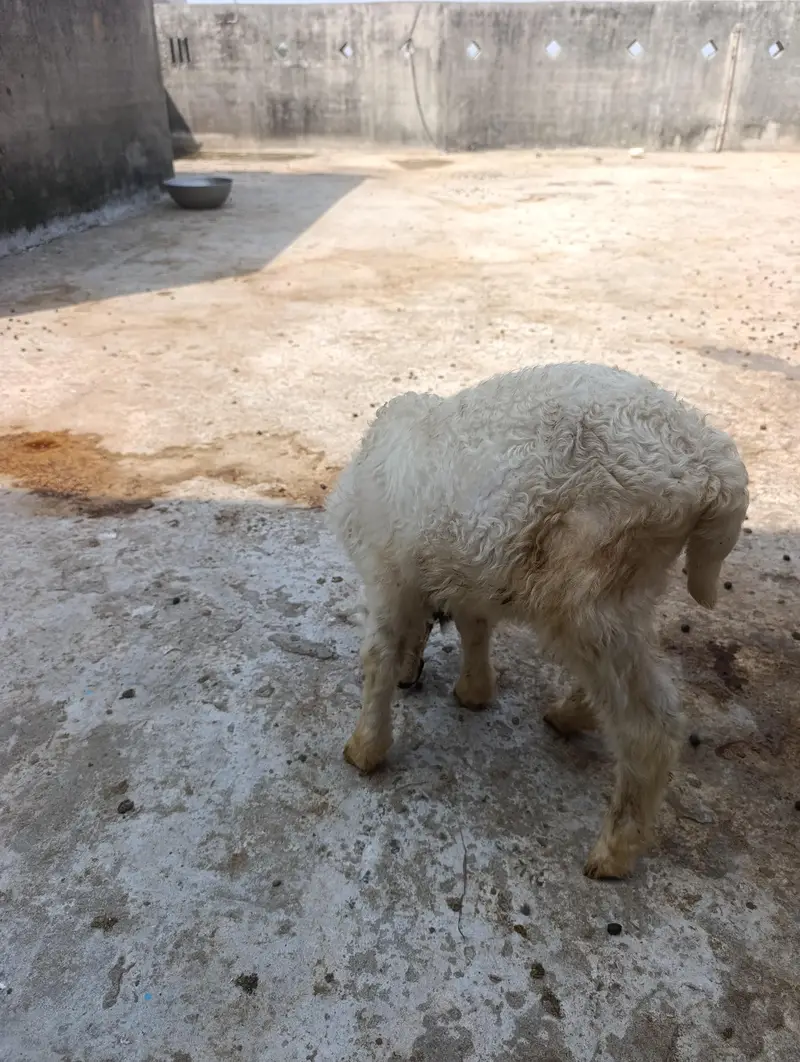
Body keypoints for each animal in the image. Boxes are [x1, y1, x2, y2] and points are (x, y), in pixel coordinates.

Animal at [326, 363, 748, 879]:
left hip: (588, 581)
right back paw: (572, 714)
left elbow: (378, 654)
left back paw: (613, 852)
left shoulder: (385, 569)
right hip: (629, 585)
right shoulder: (467, 570)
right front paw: (474, 690)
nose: (413, 681)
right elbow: (474, 629)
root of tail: (714, 468)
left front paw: (365, 748)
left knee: (648, 724)